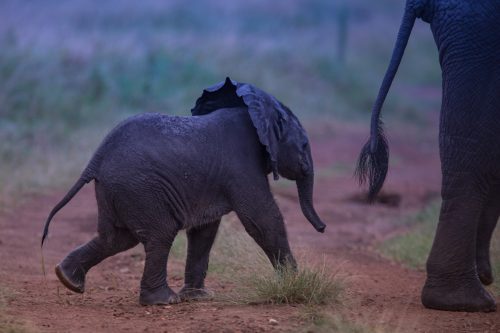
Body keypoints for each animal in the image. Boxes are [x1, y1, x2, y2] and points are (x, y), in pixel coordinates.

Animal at [41, 77, 326, 304]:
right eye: (304, 144)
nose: (322, 228)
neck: (258, 112)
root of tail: (96, 158)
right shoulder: (242, 166)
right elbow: (263, 219)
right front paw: (294, 282)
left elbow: (204, 231)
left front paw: (199, 298)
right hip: (140, 188)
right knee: (159, 234)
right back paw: (163, 301)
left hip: (116, 190)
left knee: (116, 238)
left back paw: (68, 279)